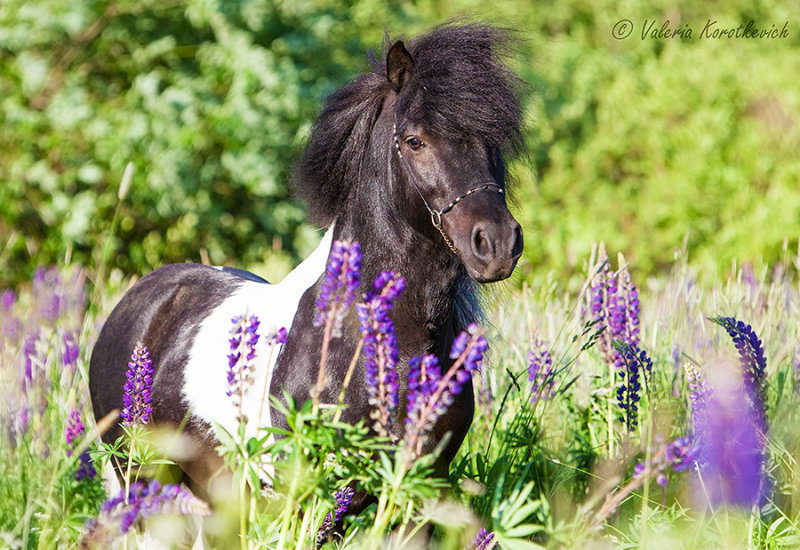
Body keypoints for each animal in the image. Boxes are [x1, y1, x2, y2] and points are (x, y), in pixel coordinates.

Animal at [89, 23, 524, 500]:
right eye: (415, 141)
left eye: (494, 142)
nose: (497, 244)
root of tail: (142, 297)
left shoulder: (422, 485)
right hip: (137, 476)